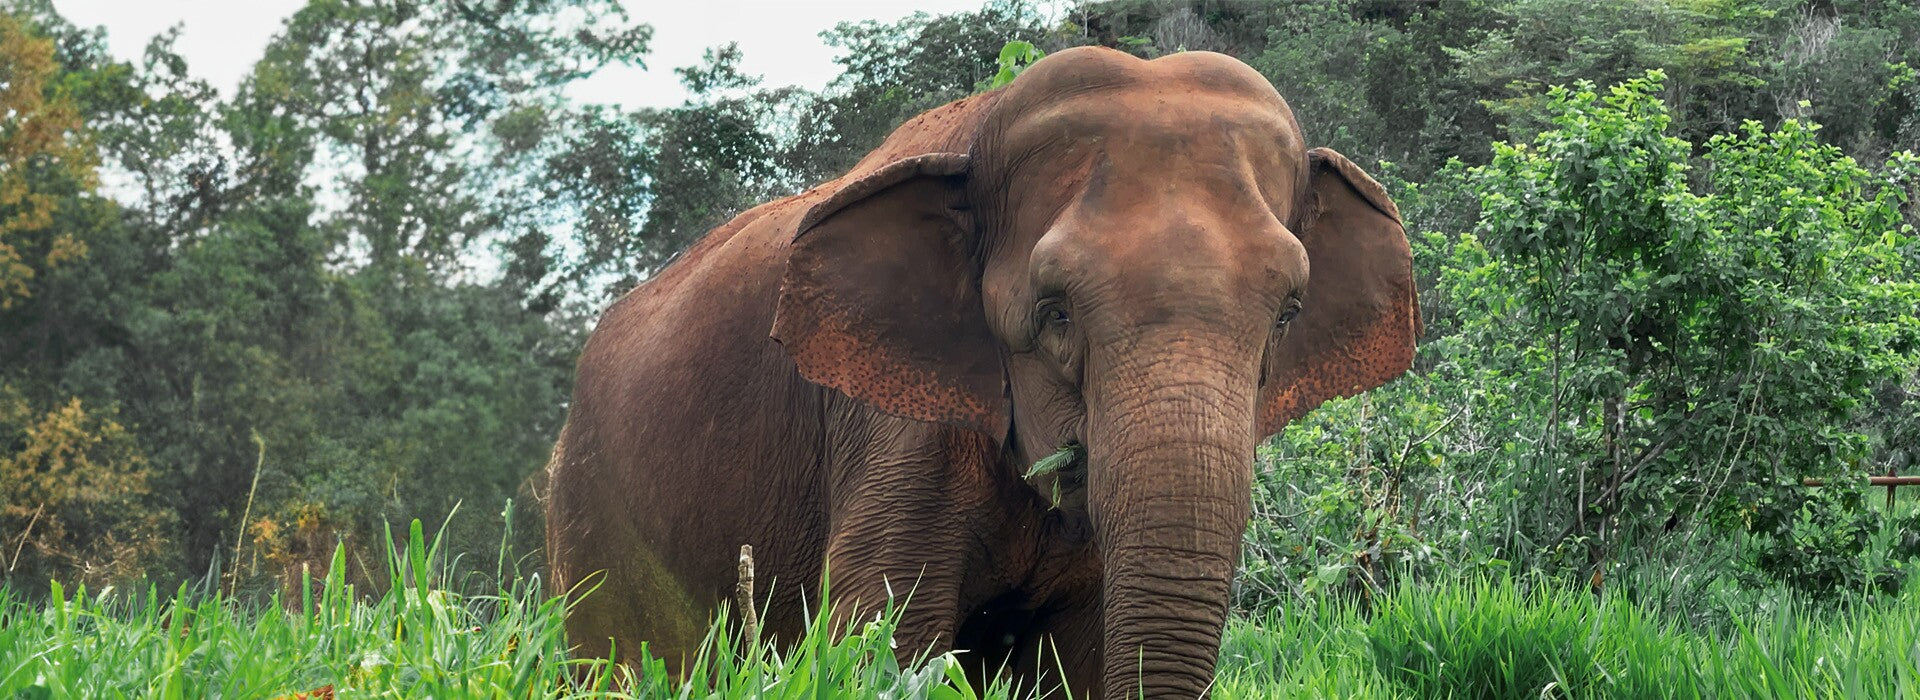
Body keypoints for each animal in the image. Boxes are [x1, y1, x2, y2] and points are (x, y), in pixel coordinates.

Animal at [545, 46, 1418, 698]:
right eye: (1055, 310)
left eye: (1289, 313)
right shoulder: (894, 429)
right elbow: (886, 637)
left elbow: (1083, 661)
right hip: (590, 524)